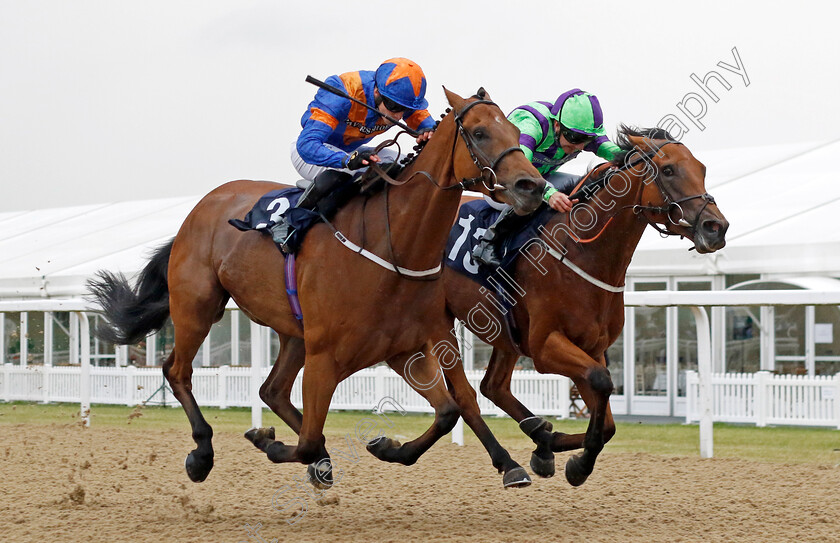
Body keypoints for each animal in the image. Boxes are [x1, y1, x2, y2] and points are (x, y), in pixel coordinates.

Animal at [85, 88, 544, 488]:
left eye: (514, 130)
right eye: (480, 133)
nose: (533, 186)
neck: (393, 247)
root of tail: (199, 208)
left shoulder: (407, 347)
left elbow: (451, 409)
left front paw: (388, 446)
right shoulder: (327, 356)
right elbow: (305, 441)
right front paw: (268, 442)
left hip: (293, 333)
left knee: (271, 390)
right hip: (197, 307)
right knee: (177, 371)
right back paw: (202, 454)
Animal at [446, 126, 728, 484]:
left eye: (702, 169)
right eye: (668, 170)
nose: (716, 227)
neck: (581, 252)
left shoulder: (590, 346)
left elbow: (606, 421)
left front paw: (551, 449)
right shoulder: (545, 346)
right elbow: (601, 381)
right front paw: (577, 464)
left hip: (505, 336)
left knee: (492, 385)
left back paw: (539, 435)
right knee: (464, 396)